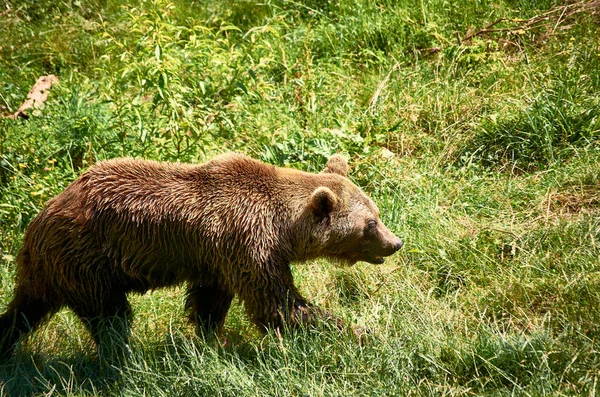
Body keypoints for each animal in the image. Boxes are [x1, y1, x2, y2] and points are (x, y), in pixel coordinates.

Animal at [1, 152, 404, 356]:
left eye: (376, 212)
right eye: (370, 223)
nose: (396, 242)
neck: (282, 226)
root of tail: (40, 218)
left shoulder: (218, 257)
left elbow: (210, 302)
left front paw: (214, 340)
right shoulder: (250, 243)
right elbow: (277, 304)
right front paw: (361, 332)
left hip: (51, 269)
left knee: (25, 309)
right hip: (88, 261)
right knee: (111, 317)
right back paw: (123, 357)